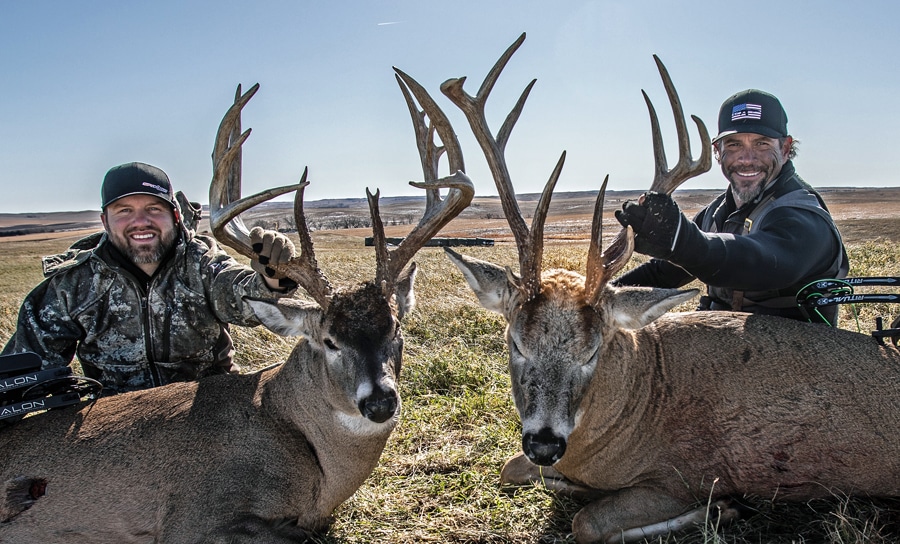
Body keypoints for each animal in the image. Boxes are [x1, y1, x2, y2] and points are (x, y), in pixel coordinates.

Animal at [437, 33, 900, 543]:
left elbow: (587, 521)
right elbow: (508, 469)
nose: (544, 445)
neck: (643, 398)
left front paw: (723, 508)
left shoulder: (686, 474)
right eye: (516, 343)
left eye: (593, 351)